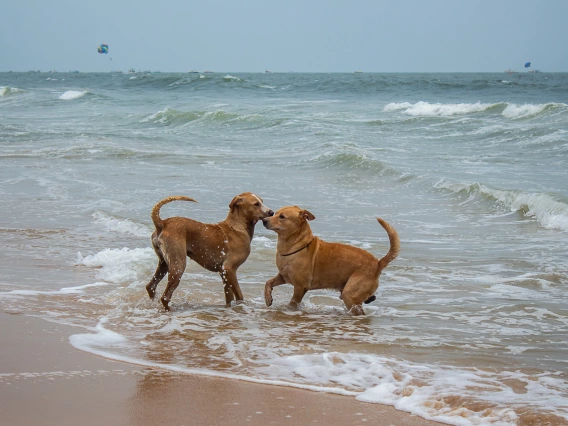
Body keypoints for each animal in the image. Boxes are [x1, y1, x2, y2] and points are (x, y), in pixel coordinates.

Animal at [144, 193, 272, 310]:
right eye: (256, 204)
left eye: (262, 201)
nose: (271, 212)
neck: (237, 226)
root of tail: (163, 223)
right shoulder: (229, 269)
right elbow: (240, 296)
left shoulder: (224, 273)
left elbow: (229, 299)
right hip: (178, 265)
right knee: (165, 297)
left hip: (164, 263)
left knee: (151, 286)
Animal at [262, 206, 400, 316]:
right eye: (275, 213)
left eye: (282, 216)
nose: (264, 220)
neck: (294, 246)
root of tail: (377, 263)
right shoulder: (283, 276)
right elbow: (268, 282)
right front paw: (268, 298)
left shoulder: (300, 287)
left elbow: (293, 303)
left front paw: (288, 310)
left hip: (350, 293)